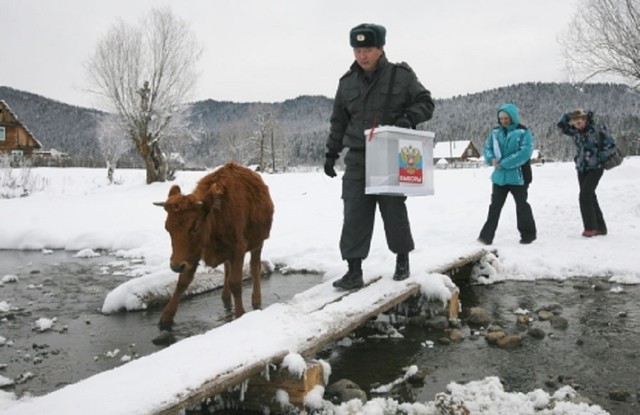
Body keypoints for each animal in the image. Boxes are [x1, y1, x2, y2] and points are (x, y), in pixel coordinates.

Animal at [156, 162, 276, 332]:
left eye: (194, 228)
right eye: (167, 228)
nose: (176, 266)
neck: (215, 216)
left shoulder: (238, 250)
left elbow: (236, 283)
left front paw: (240, 314)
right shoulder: (193, 255)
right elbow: (182, 283)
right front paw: (166, 318)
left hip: (258, 243)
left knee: (255, 267)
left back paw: (256, 301)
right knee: (227, 268)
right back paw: (225, 297)